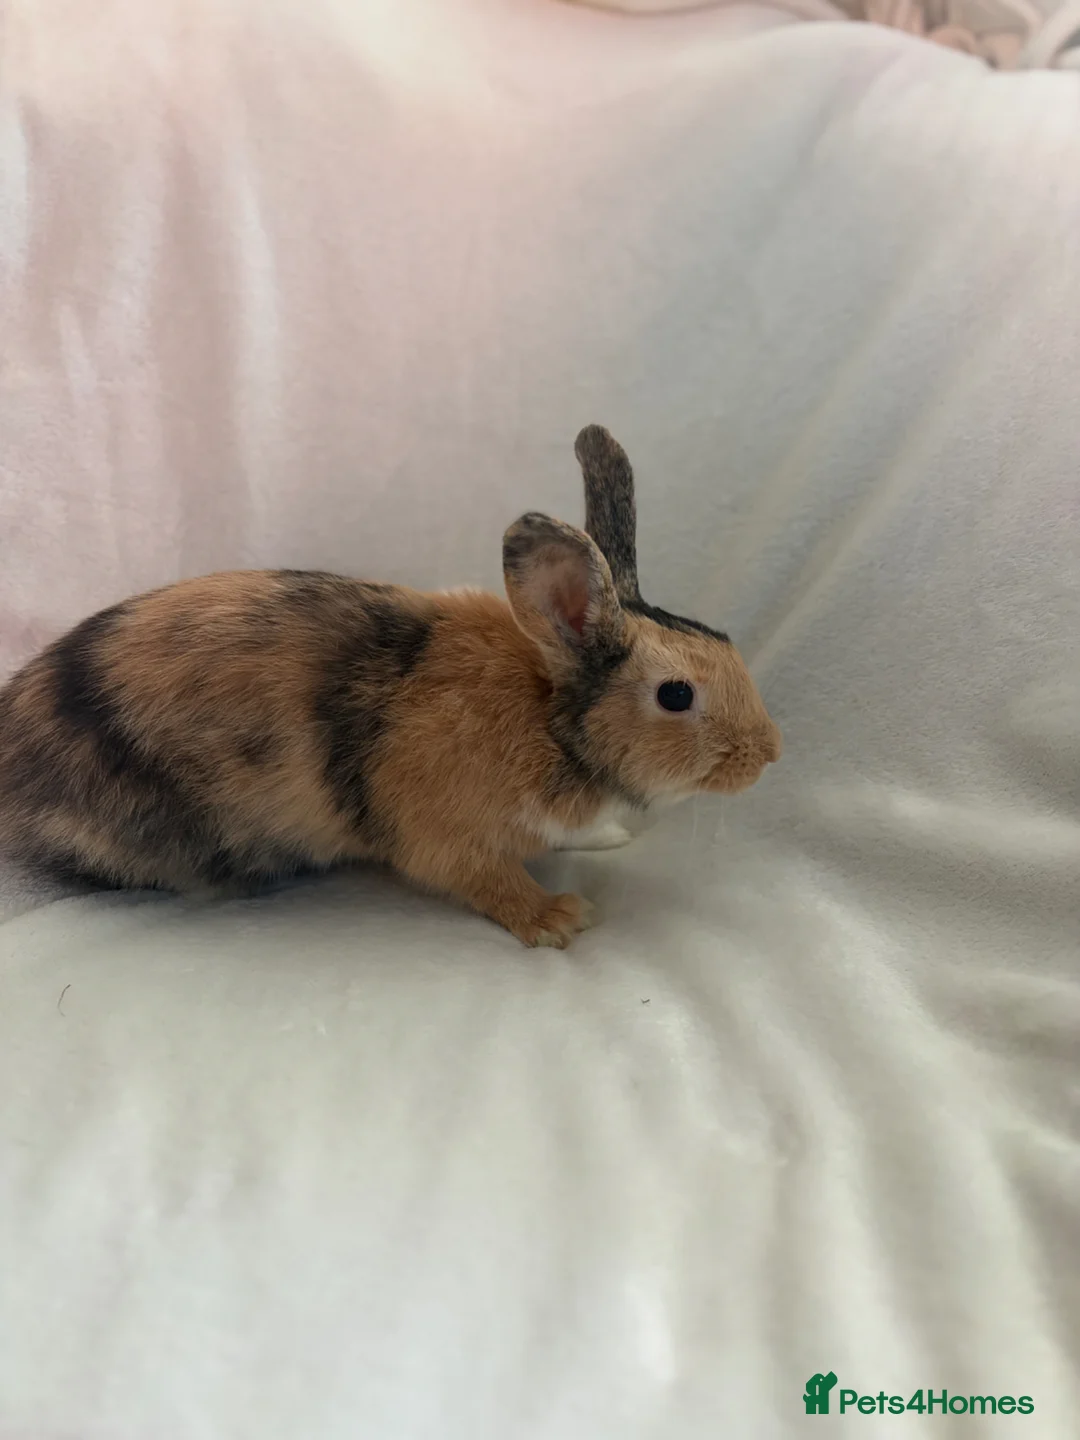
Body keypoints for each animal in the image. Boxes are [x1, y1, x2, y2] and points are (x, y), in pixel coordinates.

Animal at [0, 425, 781, 948]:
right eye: (676, 695)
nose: (771, 753)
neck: (551, 719)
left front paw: (610, 837)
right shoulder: (448, 839)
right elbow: (489, 881)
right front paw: (559, 919)